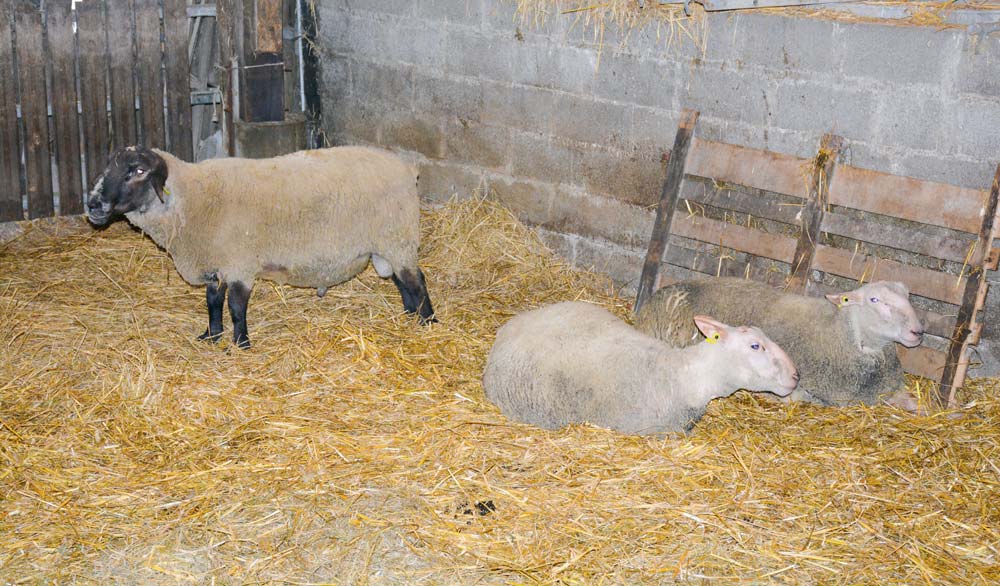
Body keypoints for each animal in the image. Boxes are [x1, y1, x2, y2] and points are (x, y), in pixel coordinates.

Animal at [84, 146, 432, 346]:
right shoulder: (217, 263)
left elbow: (236, 307)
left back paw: (427, 322)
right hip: (387, 243)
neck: (191, 199)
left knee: (416, 280)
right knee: (403, 281)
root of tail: (407, 166)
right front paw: (211, 336)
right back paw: (409, 316)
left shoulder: (240, 262)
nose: (93, 204)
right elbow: (213, 302)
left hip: (397, 236)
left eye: (138, 171)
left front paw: (240, 344)